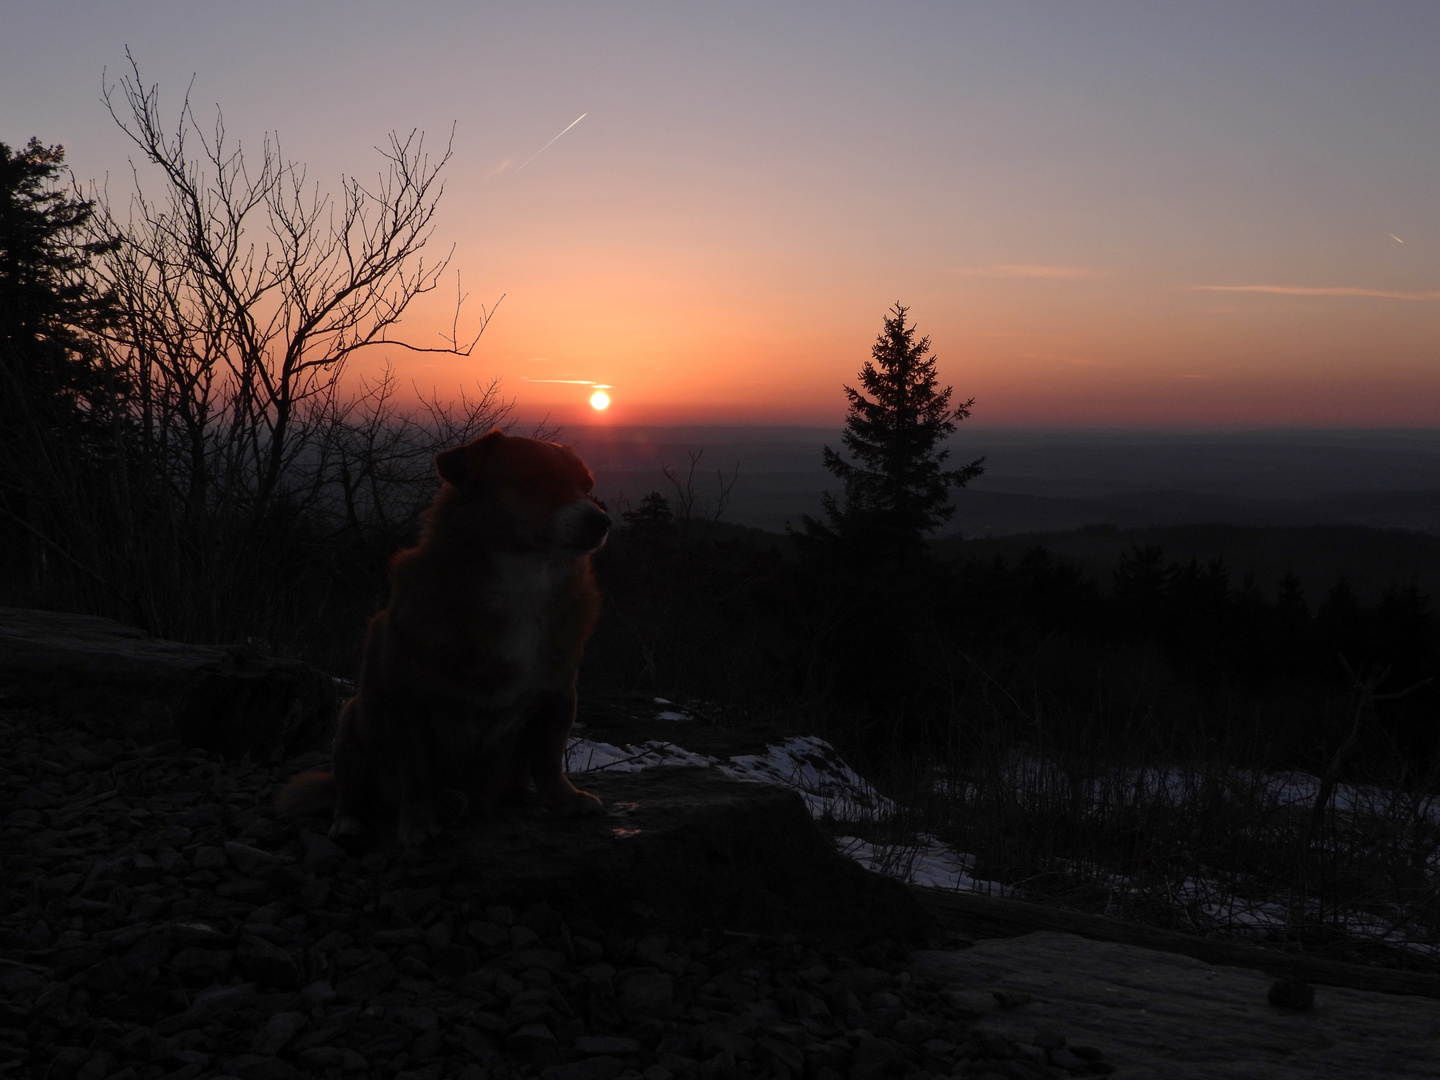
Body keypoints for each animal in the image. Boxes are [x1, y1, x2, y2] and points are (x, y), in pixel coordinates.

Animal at [279, 429, 613, 846]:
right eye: (537, 478)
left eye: (587, 487)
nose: (602, 521)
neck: (521, 587)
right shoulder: (408, 702)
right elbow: (417, 771)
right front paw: (419, 823)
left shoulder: (558, 695)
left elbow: (549, 757)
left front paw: (564, 800)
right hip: (352, 721)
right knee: (349, 790)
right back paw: (350, 822)